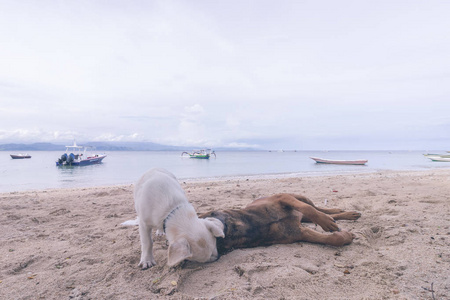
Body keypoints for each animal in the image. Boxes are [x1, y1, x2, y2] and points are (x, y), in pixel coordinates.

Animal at [199, 195, 360, 255]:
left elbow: (309, 209)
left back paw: (341, 213)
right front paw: (345, 236)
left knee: (317, 208)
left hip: (300, 197)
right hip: (304, 218)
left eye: (211, 213)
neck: (250, 224)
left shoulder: (283, 199)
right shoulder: (300, 233)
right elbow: (333, 239)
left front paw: (326, 222)